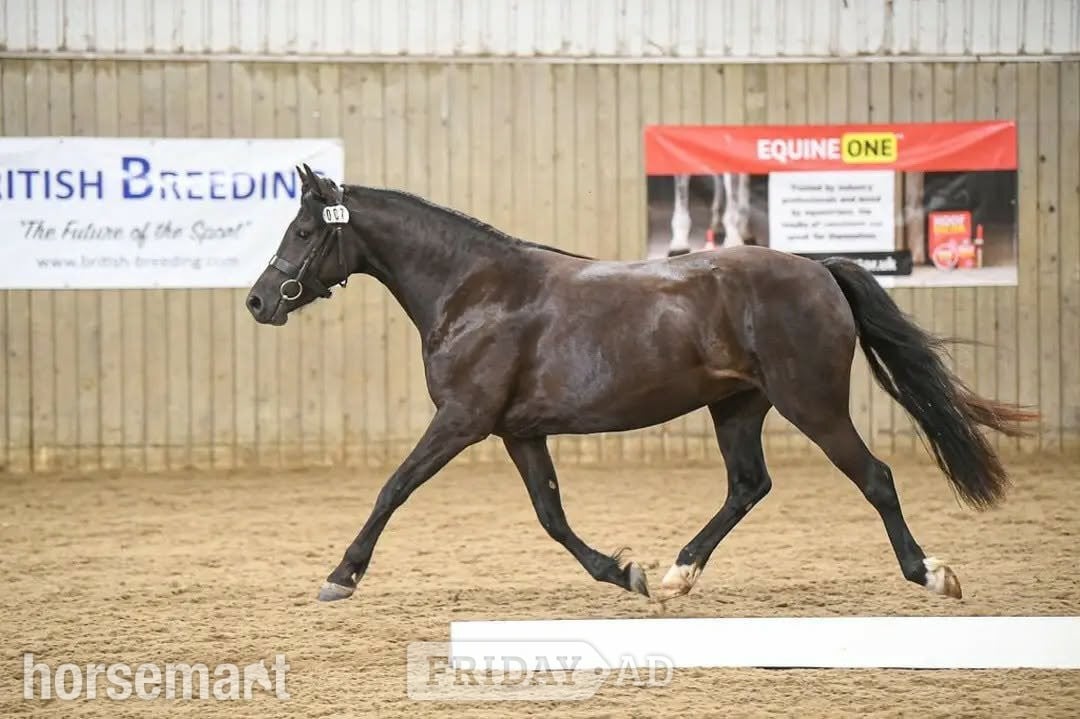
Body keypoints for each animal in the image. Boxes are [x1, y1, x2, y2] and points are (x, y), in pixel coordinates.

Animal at [245, 165, 1036, 604]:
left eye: (304, 230)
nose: (258, 301)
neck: (472, 290)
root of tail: (818, 268)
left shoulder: (462, 420)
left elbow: (393, 488)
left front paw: (341, 576)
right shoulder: (517, 431)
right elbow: (551, 516)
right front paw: (624, 573)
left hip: (811, 404)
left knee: (874, 477)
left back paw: (930, 573)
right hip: (737, 406)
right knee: (748, 485)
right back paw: (679, 573)